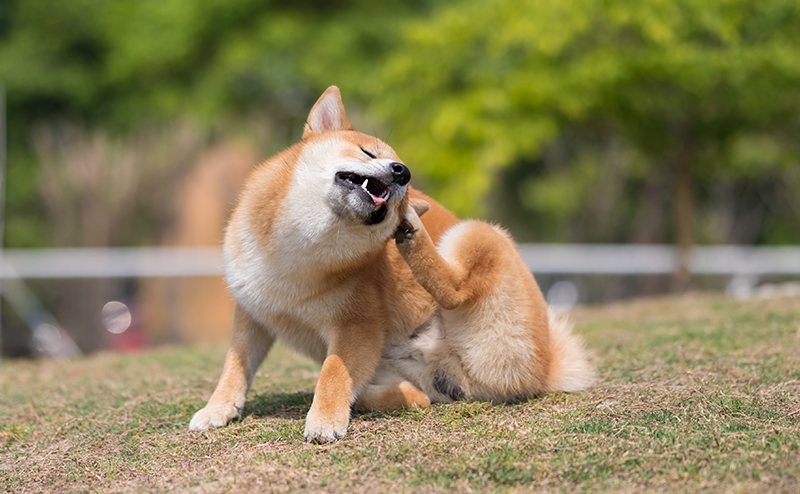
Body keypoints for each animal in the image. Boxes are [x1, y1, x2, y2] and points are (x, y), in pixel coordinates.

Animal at [189, 86, 592, 444]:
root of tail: (547, 367)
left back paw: (413, 232)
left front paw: (325, 419)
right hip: (400, 368)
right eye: (368, 152)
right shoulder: (253, 313)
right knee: (418, 397)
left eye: (403, 176)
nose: (403, 172)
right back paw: (385, 397)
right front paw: (217, 409)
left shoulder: (356, 325)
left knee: (455, 290)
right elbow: (235, 368)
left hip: (476, 234)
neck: (298, 250)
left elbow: (333, 372)